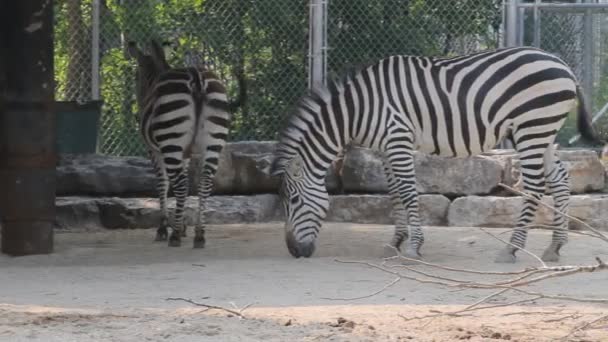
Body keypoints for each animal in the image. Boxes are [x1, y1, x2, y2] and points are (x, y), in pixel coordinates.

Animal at [128, 40, 245, 248]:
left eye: (135, 76)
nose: (137, 108)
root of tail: (197, 78)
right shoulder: (186, 154)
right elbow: (184, 183)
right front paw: (182, 226)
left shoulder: (155, 151)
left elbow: (164, 184)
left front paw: (165, 228)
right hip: (213, 141)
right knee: (205, 182)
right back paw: (199, 234)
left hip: (171, 137)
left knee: (180, 183)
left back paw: (174, 236)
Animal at [268, 46, 604, 262]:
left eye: (292, 200)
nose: (294, 251)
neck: (359, 109)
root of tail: (563, 64)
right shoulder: (385, 148)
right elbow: (394, 193)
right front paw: (395, 243)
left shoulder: (399, 138)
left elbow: (408, 192)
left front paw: (414, 247)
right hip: (544, 131)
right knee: (560, 179)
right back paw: (555, 247)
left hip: (531, 126)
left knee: (535, 186)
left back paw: (511, 249)